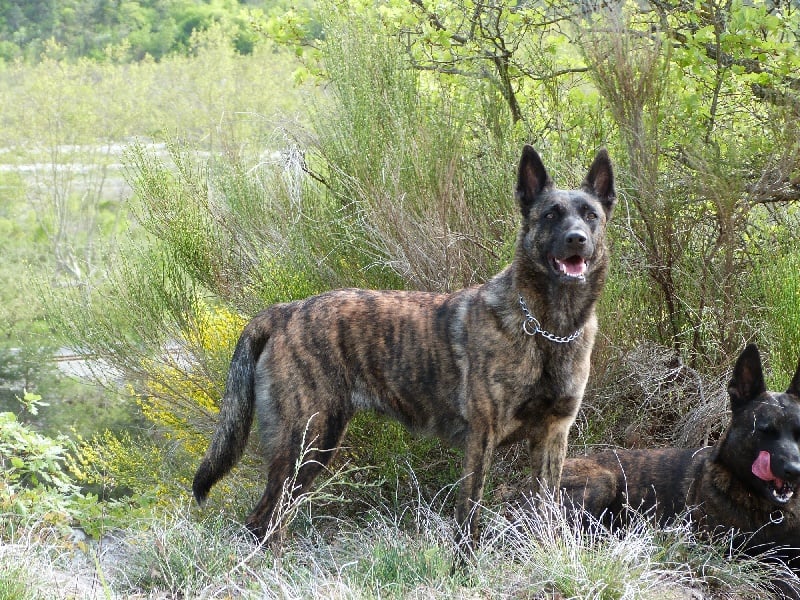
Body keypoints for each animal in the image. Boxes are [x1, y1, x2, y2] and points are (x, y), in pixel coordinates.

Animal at [195, 145, 620, 548]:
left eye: (591, 215)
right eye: (550, 215)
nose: (577, 240)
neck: (548, 328)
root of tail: (287, 310)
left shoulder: (552, 439)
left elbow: (548, 517)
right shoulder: (481, 441)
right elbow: (468, 522)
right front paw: (461, 569)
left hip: (315, 447)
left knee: (268, 522)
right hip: (304, 443)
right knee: (265, 521)